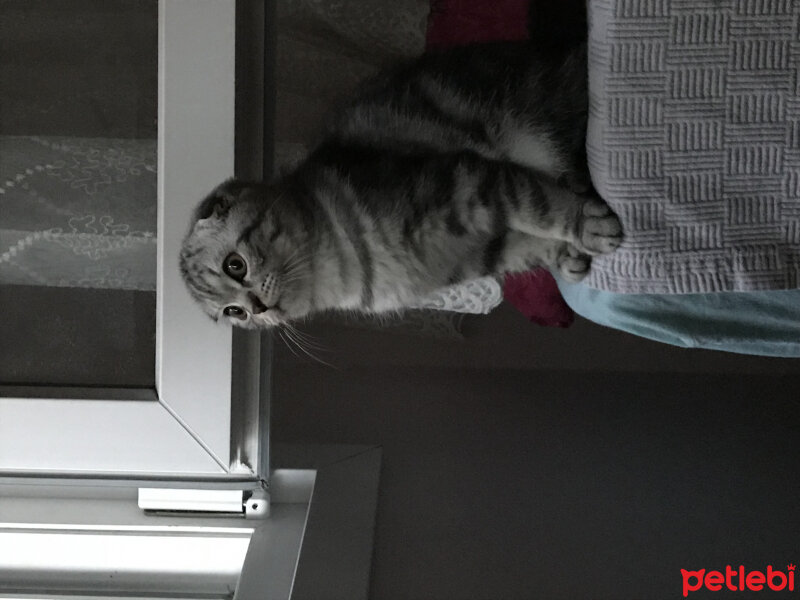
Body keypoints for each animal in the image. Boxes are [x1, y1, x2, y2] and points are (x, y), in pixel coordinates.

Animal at [178, 39, 620, 330]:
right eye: (233, 313)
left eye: (235, 265)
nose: (257, 308)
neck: (352, 271)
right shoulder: (479, 252)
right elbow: (529, 244)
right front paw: (567, 254)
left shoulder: (466, 184)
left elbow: (539, 205)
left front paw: (588, 227)